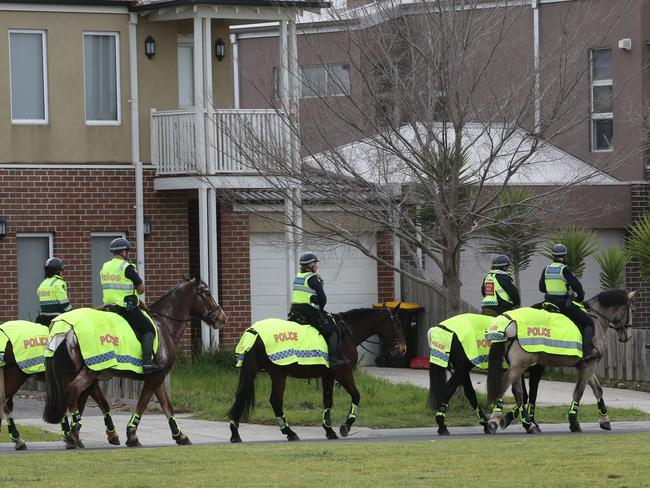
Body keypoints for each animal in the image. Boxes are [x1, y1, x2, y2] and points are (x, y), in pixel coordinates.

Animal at [42, 278, 225, 450]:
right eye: (207, 293)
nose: (223, 317)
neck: (164, 325)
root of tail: (67, 327)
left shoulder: (156, 377)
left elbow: (167, 406)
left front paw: (180, 436)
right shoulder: (155, 377)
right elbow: (142, 404)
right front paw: (132, 436)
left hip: (80, 373)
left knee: (71, 397)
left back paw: (72, 434)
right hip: (88, 373)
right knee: (72, 392)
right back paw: (73, 434)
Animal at [225, 306, 402, 444]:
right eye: (397, 324)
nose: (402, 349)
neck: (347, 333)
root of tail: (253, 332)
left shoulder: (328, 375)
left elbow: (328, 400)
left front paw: (329, 430)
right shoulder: (342, 372)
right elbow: (356, 395)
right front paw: (346, 426)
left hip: (255, 371)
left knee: (241, 395)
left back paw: (235, 433)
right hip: (278, 373)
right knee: (275, 400)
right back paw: (289, 432)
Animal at [486, 288, 632, 432]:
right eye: (631, 309)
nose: (627, 336)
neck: (596, 319)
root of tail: (508, 322)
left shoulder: (585, 366)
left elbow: (598, 390)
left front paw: (604, 420)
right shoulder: (588, 365)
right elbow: (579, 392)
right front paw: (574, 422)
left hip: (517, 367)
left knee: (518, 393)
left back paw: (527, 424)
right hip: (519, 366)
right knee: (504, 386)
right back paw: (495, 420)